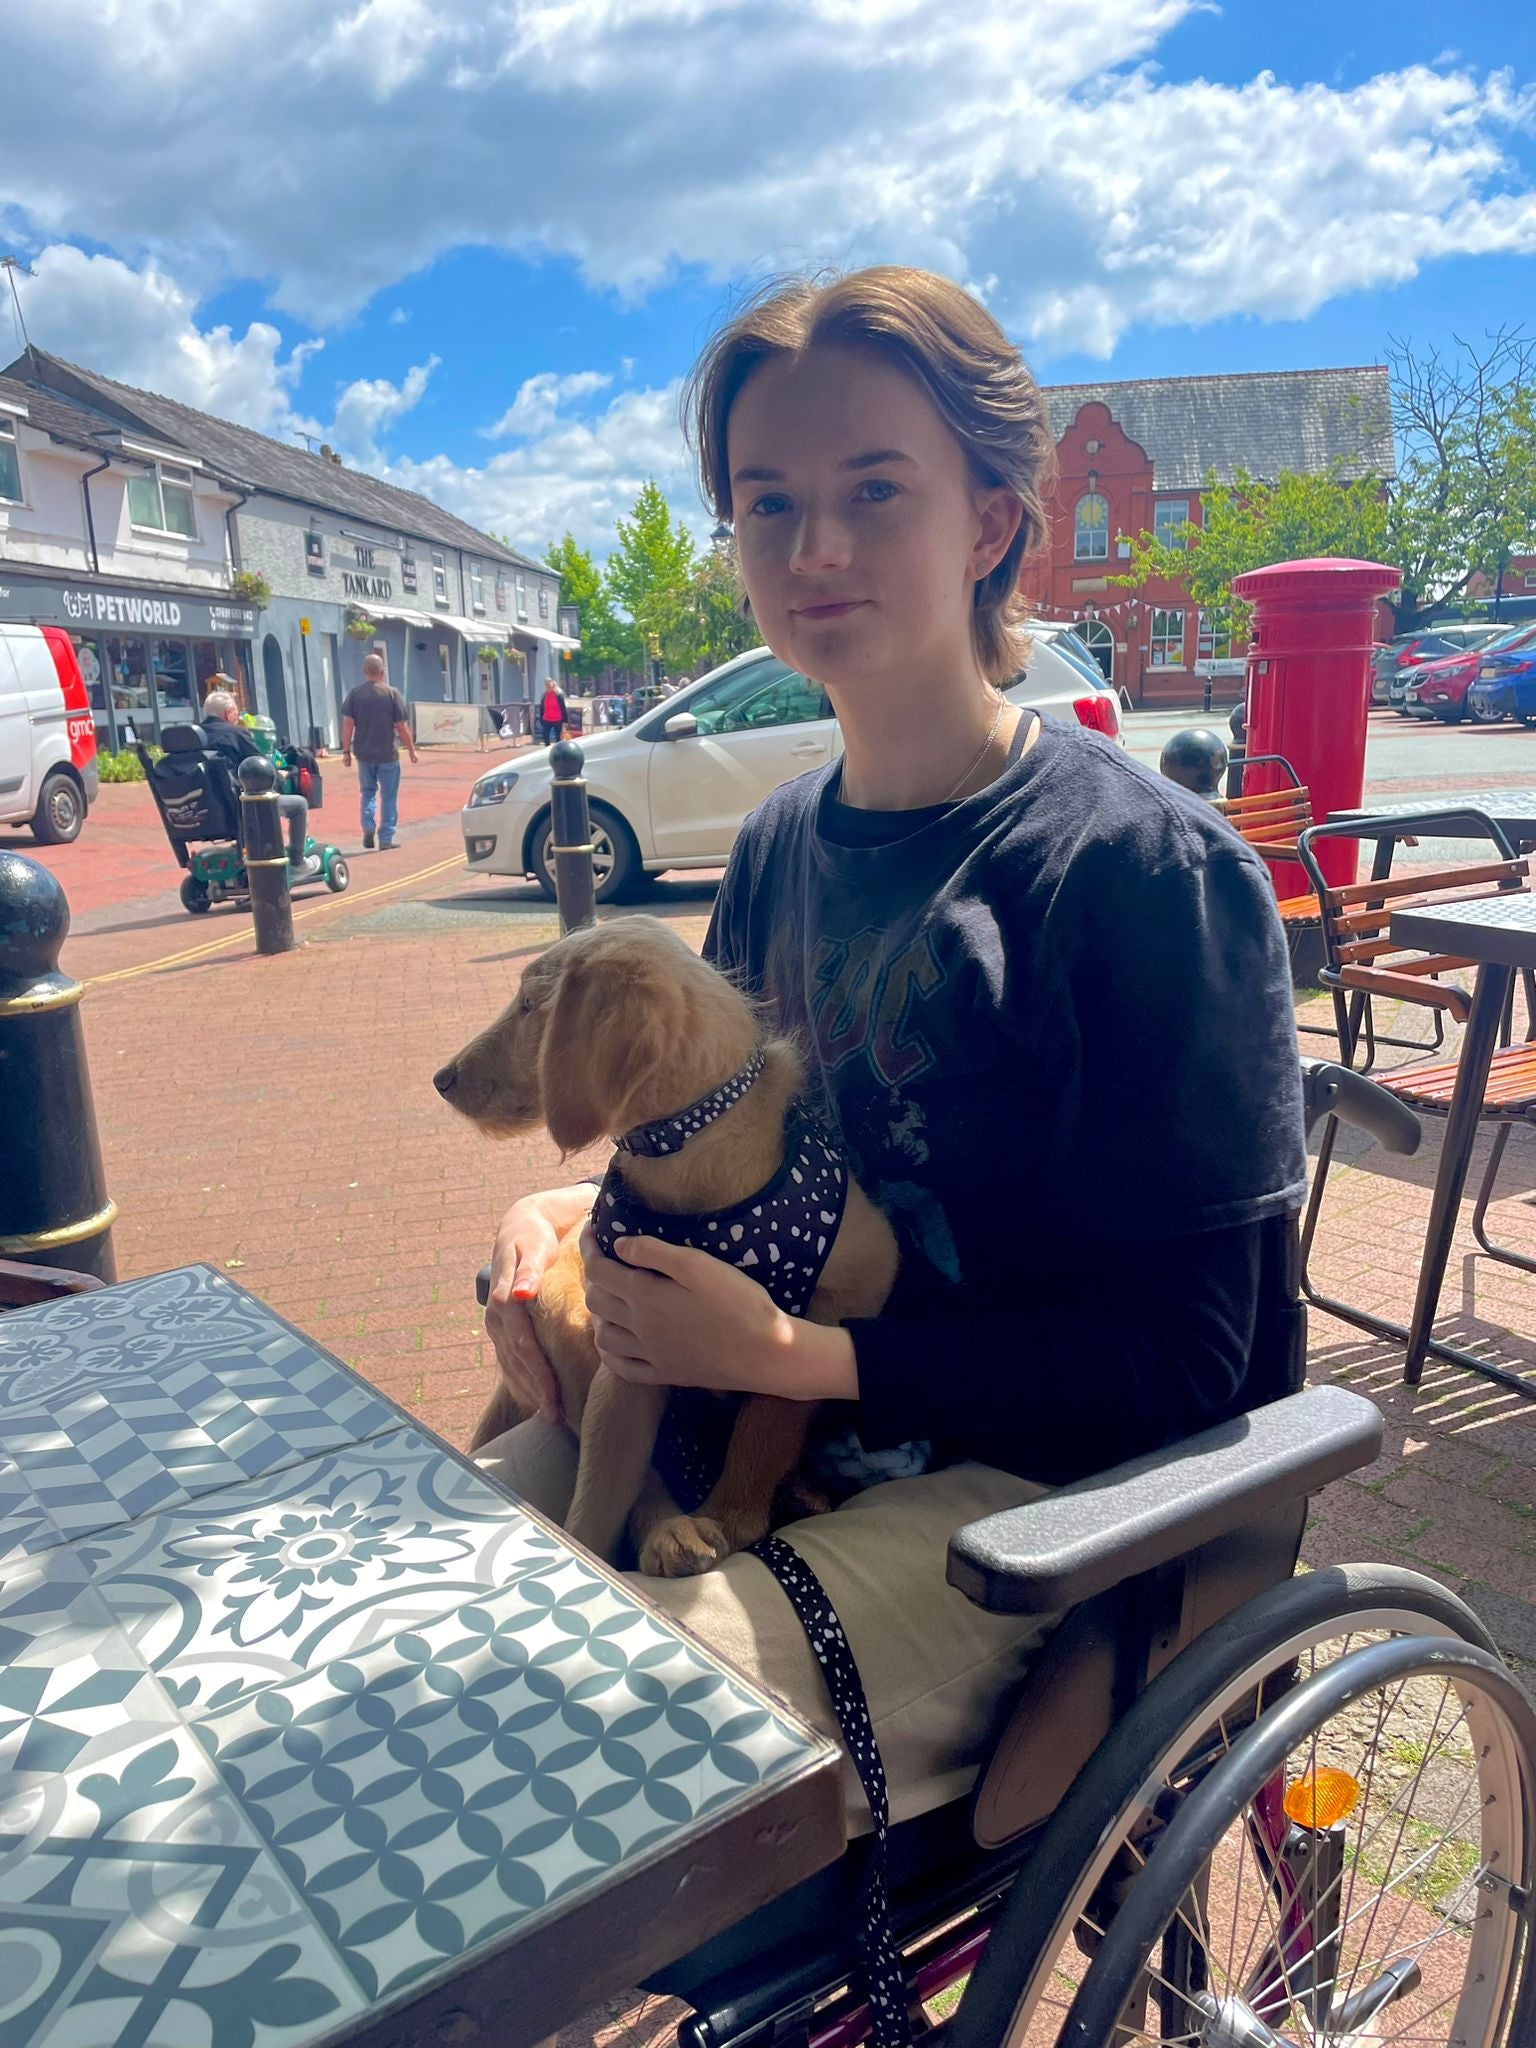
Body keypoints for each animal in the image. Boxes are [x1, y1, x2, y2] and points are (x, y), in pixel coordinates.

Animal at [434, 921, 901, 1572]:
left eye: (529, 1005)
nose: (442, 1079)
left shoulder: (853, 1287)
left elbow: (771, 1415)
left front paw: (733, 1514)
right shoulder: (625, 1349)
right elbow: (600, 1497)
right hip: (573, 1328)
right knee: (637, 1471)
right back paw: (670, 1533)